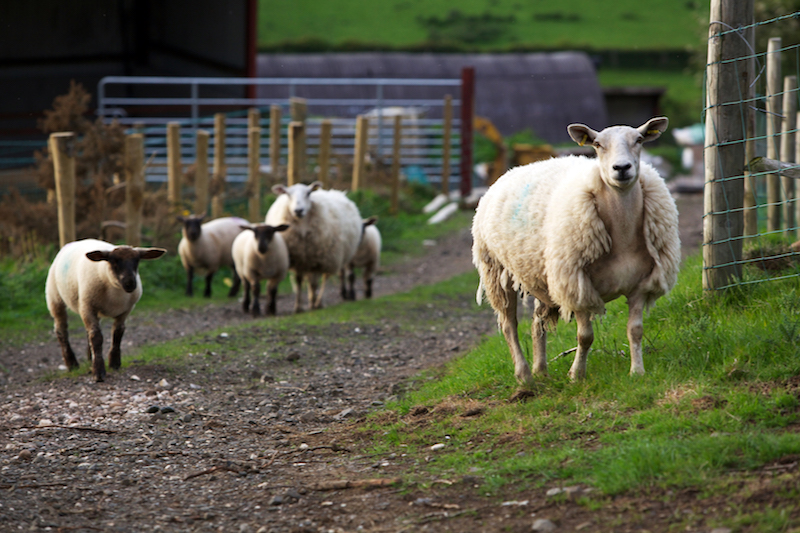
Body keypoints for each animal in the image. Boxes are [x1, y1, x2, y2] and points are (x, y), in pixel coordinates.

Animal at [45, 239, 166, 382]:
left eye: (137, 261)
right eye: (113, 261)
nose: (130, 283)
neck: (115, 291)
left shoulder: (126, 310)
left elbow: (118, 333)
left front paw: (114, 363)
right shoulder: (87, 307)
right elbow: (96, 337)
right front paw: (98, 372)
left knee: (87, 332)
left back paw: (89, 359)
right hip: (55, 299)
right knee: (61, 330)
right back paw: (72, 364)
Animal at [266, 181, 362, 312]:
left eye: (308, 193)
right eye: (288, 194)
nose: (298, 210)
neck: (302, 227)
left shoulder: (317, 259)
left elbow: (314, 283)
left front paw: (313, 304)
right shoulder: (298, 260)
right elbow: (299, 281)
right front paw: (298, 306)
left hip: (329, 257)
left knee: (323, 279)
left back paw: (318, 302)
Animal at [471, 117, 680, 384]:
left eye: (639, 140)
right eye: (598, 145)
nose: (621, 168)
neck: (623, 235)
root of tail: (508, 172)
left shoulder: (640, 285)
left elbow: (635, 330)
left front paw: (637, 372)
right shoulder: (578, 285)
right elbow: (585, 336)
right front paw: (576, 375)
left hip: (543, 276)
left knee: (537, 322)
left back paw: (541, 369)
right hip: (496, 269)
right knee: (509, 325)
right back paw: (524, 374)